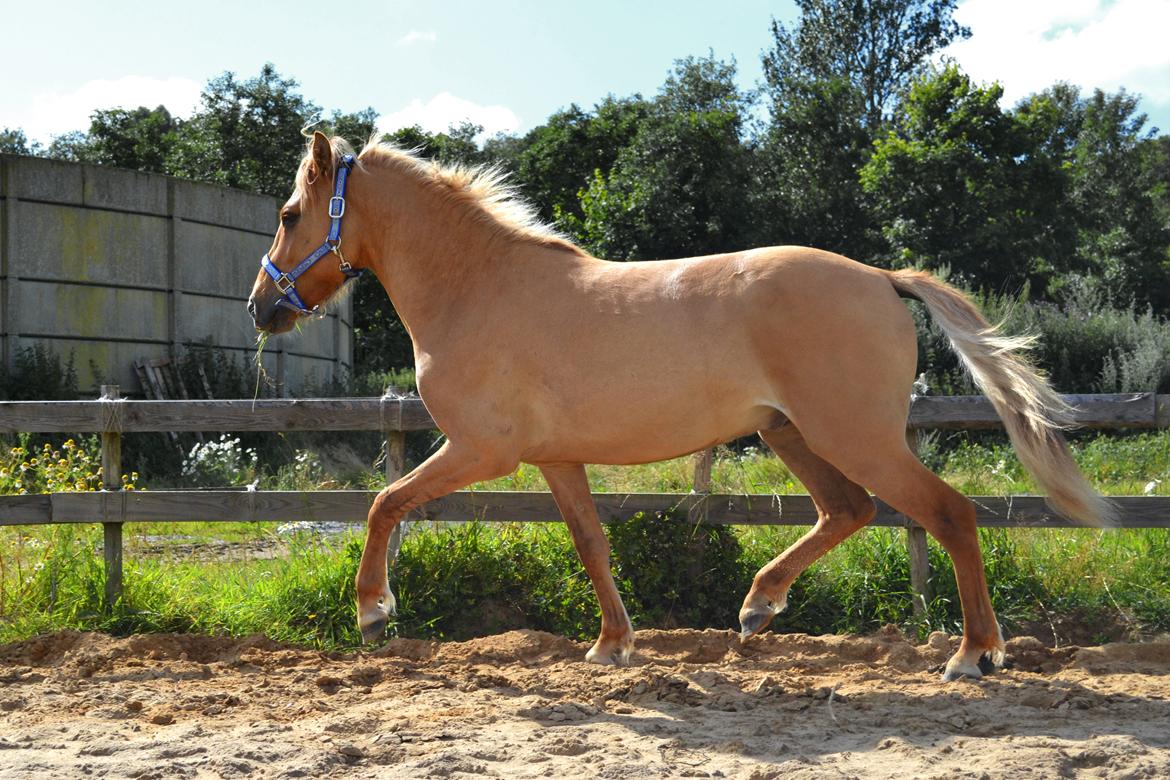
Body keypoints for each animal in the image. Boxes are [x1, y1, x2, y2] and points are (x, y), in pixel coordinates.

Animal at [246, 130, 1104, 678]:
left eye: (289, 216)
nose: (260, 307)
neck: (477, 288)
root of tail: (880, 278)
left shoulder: (481, 452)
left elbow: (384, 502)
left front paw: (372, 612)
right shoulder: (557, 460)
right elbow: (592, 545)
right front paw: (612, 646)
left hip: (854, 435)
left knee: (946, 513)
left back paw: (974, 655)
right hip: (793, 434)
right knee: (848, 511)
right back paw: (758, 608)